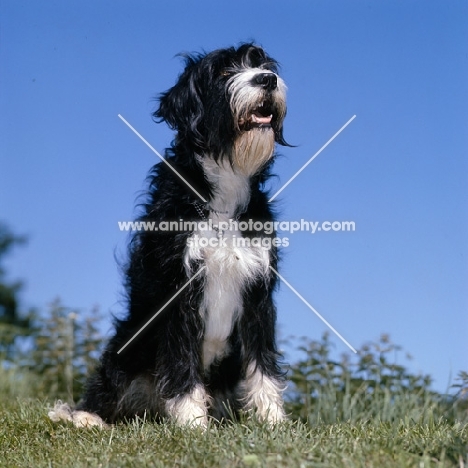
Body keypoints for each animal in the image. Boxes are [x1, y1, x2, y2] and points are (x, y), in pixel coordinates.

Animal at [48, 44, 288, 428]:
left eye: (263, 65)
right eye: (223, 73)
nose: (267, 80)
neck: (223, 192)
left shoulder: (258, 294)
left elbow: (261, 363)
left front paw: (273, 422)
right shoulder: (178, 291)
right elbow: (180, 362)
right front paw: (192, 422)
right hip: (128, 343)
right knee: (106, 386)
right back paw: (86, 417)